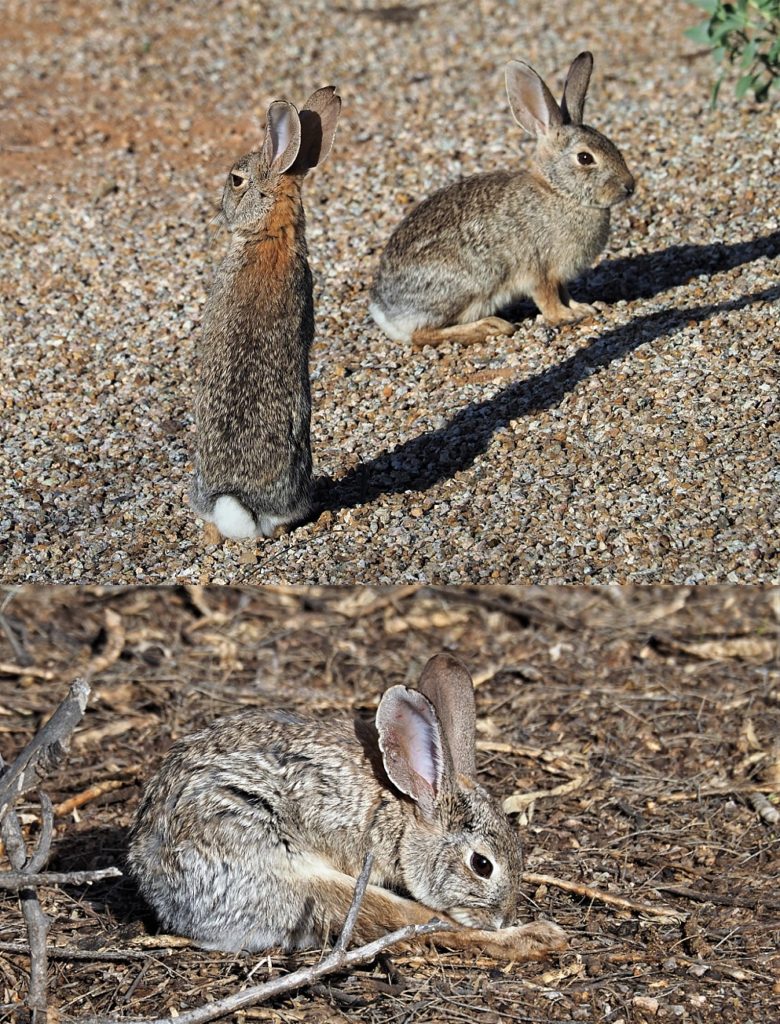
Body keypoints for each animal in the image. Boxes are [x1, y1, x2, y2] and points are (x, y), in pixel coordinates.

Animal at [127, 655, 565, 958]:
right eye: (482, 865)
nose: (503, 917)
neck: (404, 811)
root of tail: (159, 888)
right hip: (288, 875)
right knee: (409, 922)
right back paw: (539, 938)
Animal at [366, 51, 630, 348]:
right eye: (585, 158)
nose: (629, 186)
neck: (560, 192)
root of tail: (384, 314)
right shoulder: (540, 269)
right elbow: (548, 300)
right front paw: (566, 316)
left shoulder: (560, 275)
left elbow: (565, 293)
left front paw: (584, 308)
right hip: (468, 284)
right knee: (422, 334)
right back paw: (491, 327)